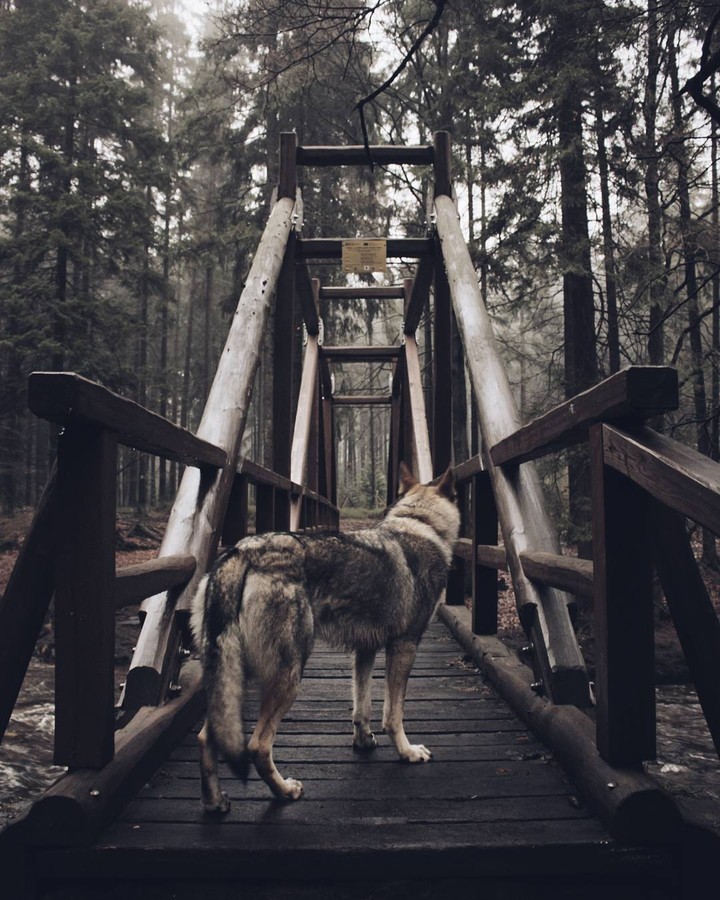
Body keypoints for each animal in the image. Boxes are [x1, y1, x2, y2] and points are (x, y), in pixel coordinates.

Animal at [190, 462, 459, 810]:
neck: (420, 523)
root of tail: (241, 552)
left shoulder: (365, 649)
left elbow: (362, 706)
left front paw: (363, 741)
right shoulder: (404, 646)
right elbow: (393, 714)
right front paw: (407, 752)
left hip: (235, 675)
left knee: (206, 737)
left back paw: (214, 803)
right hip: (289, 676)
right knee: (257, 746)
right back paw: (285, 791)